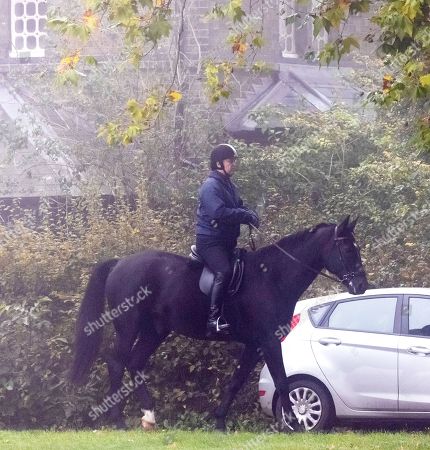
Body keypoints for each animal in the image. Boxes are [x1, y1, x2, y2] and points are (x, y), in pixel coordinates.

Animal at [69, 216, 366, 430]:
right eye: (347, 248)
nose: (361, 286)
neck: (272, 277)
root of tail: (120, 263)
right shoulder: (269, 341)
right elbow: (282, 380)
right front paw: (293, 423)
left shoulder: (255, 344)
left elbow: (236, 381)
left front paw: (220, 421)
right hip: (128, 327)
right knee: (117, 363)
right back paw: (119, 421)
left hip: (155, 330)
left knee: (134, 363)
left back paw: (149, 417)